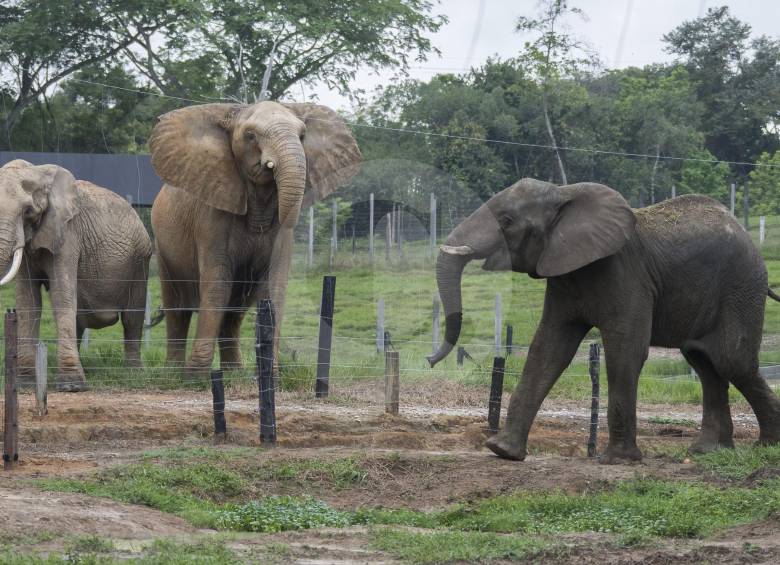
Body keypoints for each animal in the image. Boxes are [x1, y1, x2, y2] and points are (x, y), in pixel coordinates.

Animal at [0, 160, 152, 391]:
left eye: (28, 211)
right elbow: (28, 301)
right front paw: (24, 384)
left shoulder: (68, 232)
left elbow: (61, 295)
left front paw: (72, 386)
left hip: (140, 262)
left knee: (132, 318)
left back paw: (133, 374)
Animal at [148, 101, 361, 374]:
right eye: (250, 136)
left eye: (303, 136)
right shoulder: (211, 216)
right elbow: (217, 282)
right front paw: (196, 376)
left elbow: (274, 285)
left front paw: (270, 374)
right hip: (163, 247)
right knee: (178, 307)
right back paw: (174, 373)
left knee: (234, 311)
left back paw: (234, 373)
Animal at [428, 178, 780, 463]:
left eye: (506, 220)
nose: (430, 360)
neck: (563, 193)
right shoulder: (564, 275)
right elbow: (548, 348)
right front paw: (502, 451)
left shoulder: (626, 274)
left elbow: (625, 349)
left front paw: (617, 460)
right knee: (704, 362)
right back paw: (708, 451)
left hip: (741, 285)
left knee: (732, 361)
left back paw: (766, 447)